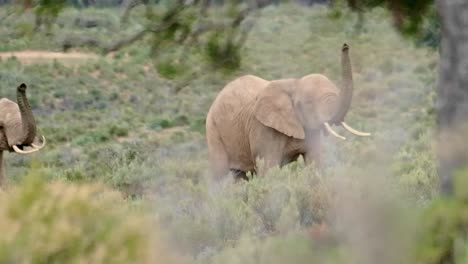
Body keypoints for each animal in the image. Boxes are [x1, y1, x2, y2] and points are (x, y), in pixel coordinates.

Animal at [207, 43, 372, 179]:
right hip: (212, 130)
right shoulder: (263, 128)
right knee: (219, 175)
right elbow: (269, 169)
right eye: (308, 103)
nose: (345, 45)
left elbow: (315, 163)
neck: (294, 84)